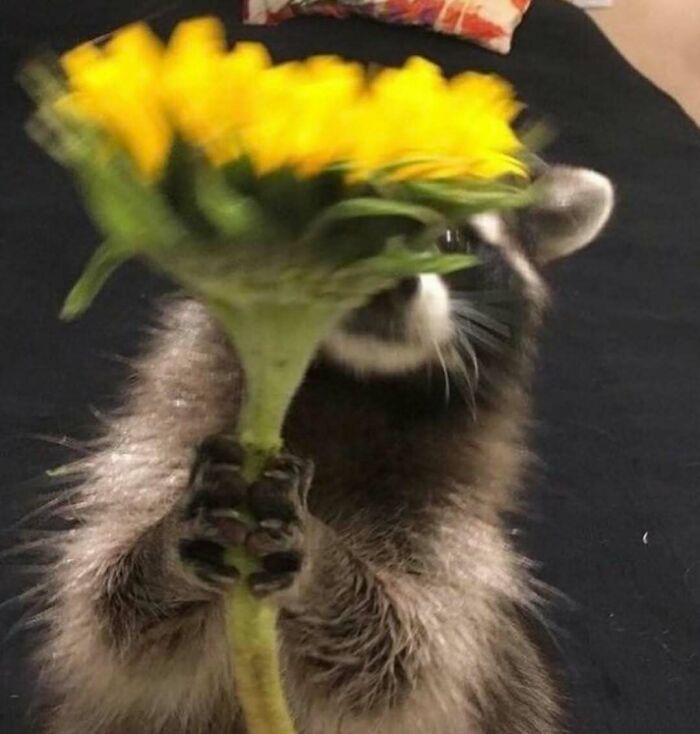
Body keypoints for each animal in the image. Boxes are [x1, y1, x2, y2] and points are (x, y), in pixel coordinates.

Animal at [35, 165, 614, 734]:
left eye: (451, 238)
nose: (390, 278)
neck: (353, 385)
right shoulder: (165, 444)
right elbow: (108, 613)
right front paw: (163, 549)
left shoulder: (453, 526)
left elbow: (409, 662)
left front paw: (326, 567)